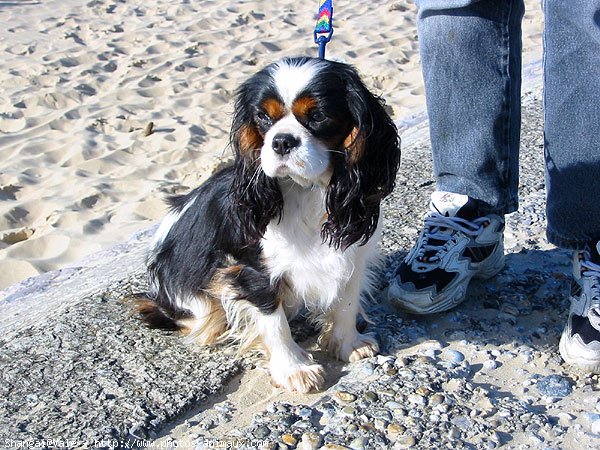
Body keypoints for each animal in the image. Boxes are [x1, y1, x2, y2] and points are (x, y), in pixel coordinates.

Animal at [135, 56, 398, 392]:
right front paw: (294, 368)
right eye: (262, 117)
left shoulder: (352, 256)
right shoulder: (252, 271)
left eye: (318, 116)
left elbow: (346, 302)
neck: (305, 190)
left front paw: (347, 344)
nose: (282, 141)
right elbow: (274, 322)